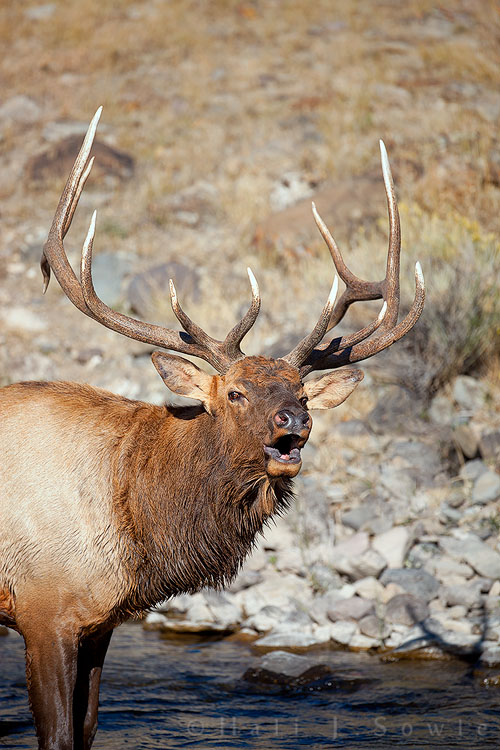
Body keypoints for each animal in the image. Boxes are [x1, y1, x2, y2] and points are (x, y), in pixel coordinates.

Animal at [0, 108, 424, 750]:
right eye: (234, 392)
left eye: (303, 393)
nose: (295, 422)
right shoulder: (43, 610)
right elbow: (57, 736)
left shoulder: (99, 623)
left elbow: (88, 728)